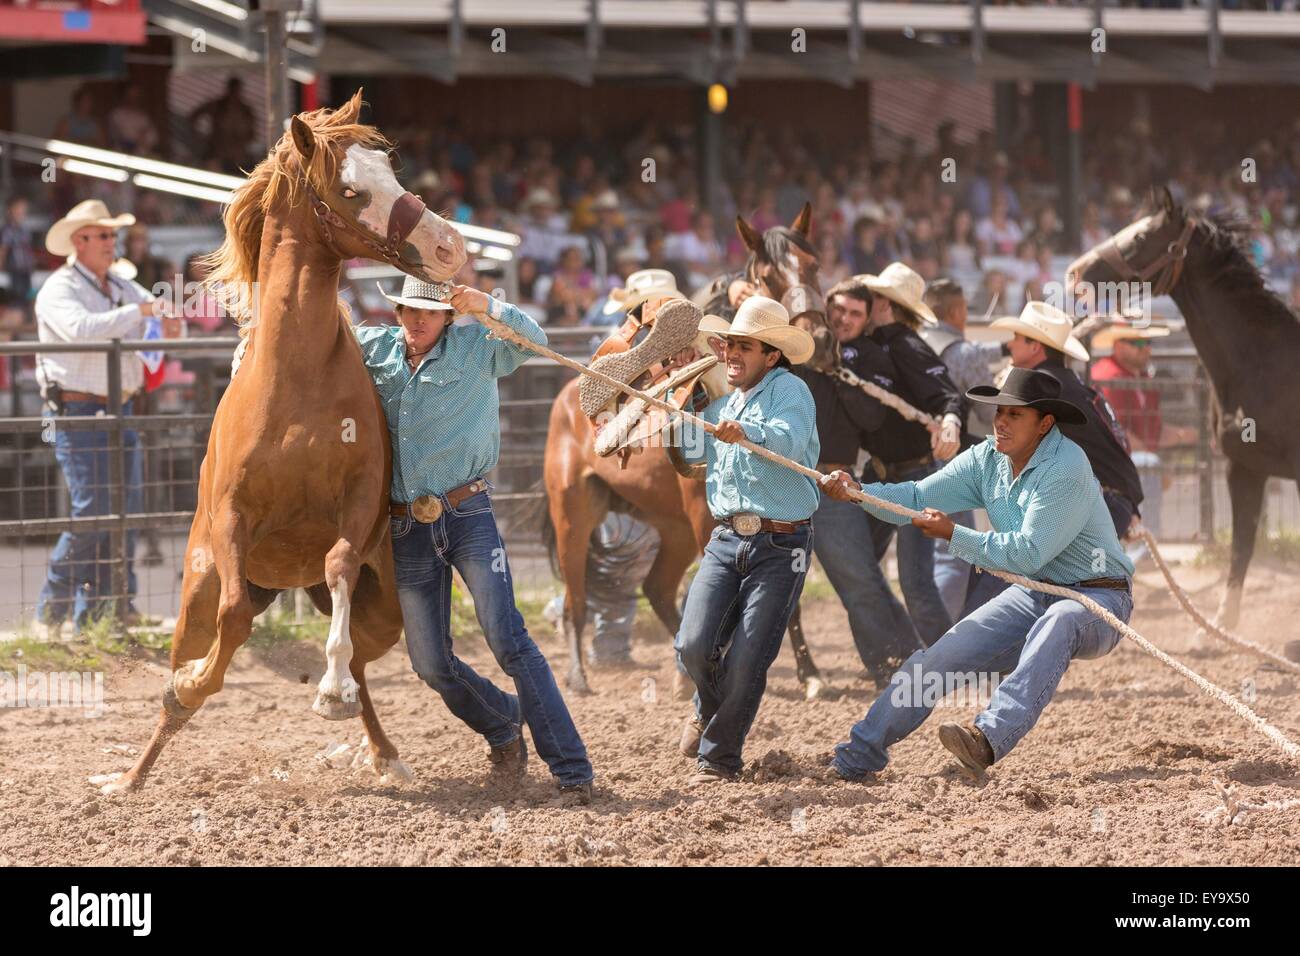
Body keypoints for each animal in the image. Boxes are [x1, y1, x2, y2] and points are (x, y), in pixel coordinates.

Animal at [97, 91, 473, 790]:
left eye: (394, 172)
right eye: (351, 190)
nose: (447, 243)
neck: (294, 381)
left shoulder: (358, 502)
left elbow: (338, 565)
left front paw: (330, 695)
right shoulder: (231, 517)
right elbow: (233, 619)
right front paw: (190, 686)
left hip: (386, 609)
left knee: (362, 659)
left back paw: (380, 748)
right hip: (194, 595)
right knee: (196, 648)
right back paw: (131, 773)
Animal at [540, 204, 832, 697]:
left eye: (814, 265)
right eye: (768, 275)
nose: (818, 335)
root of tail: (564, 402)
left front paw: (809, 672)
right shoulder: (703, 514)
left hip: (668, 526)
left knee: (657, 589)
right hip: (573, 513)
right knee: (575, 601)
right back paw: (579, 676)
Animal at [1066, 189, 1300, 632]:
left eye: (1141, 237)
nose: (1075, 271)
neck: (1264, 362)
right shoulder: (1245, 467)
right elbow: (1242, 545)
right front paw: (1219, 626)